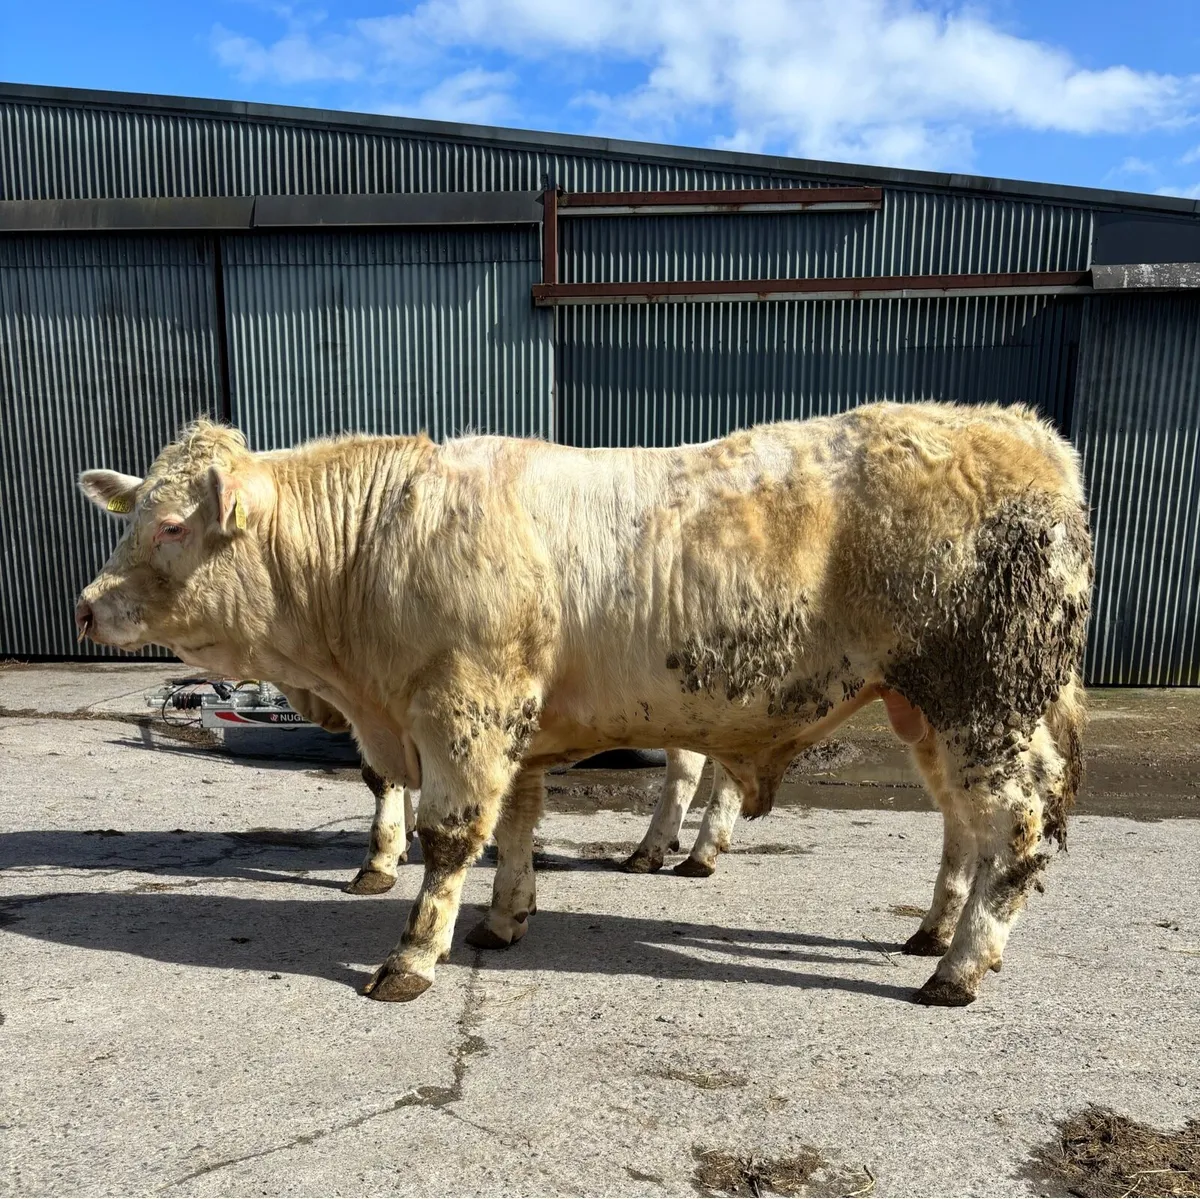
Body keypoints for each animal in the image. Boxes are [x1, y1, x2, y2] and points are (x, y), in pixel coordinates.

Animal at [75, 401, 1092, 1007]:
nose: (86, 604)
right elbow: (518, 826)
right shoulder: (506, 725)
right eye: (133, 514)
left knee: (1018, 827)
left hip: (985, 698)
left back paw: (960, 967)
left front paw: (412, 957)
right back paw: (933, 931)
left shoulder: (465, 710)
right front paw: (504, 919)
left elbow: (451, 838)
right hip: (929, 709)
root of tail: (1022, 430)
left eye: (174, 526)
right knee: (962, 824)